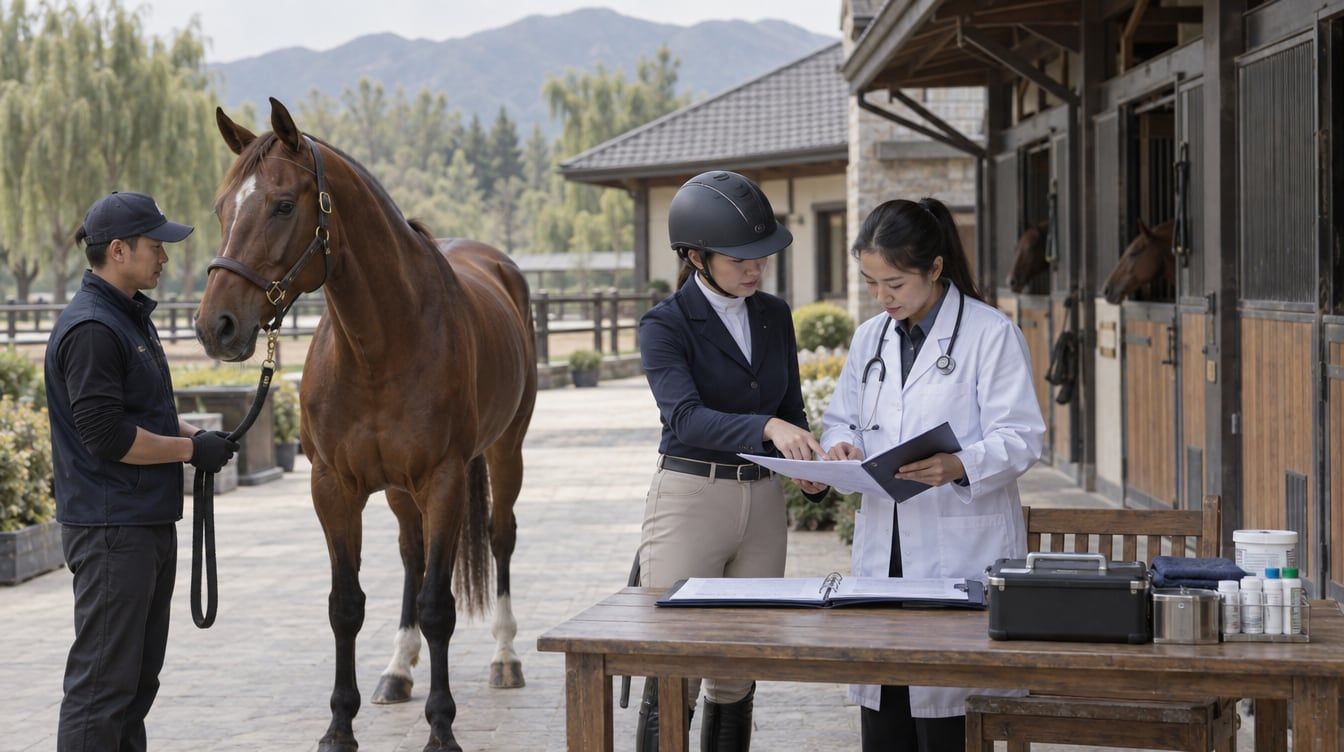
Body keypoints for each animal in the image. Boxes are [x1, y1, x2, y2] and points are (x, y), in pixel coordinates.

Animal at [195, 98, 537, 752]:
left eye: (283, 204)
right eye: (223, 208)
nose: (215, 326)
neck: (381, 346)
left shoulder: (444, 480)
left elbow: (438, 606)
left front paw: (441, 728)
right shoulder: (333, 486)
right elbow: (345, 605)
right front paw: (338, 727)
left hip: (506, 451)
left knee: (500, 536)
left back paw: (505, 657)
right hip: (402, 490)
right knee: (409, 554)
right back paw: (398, 669)